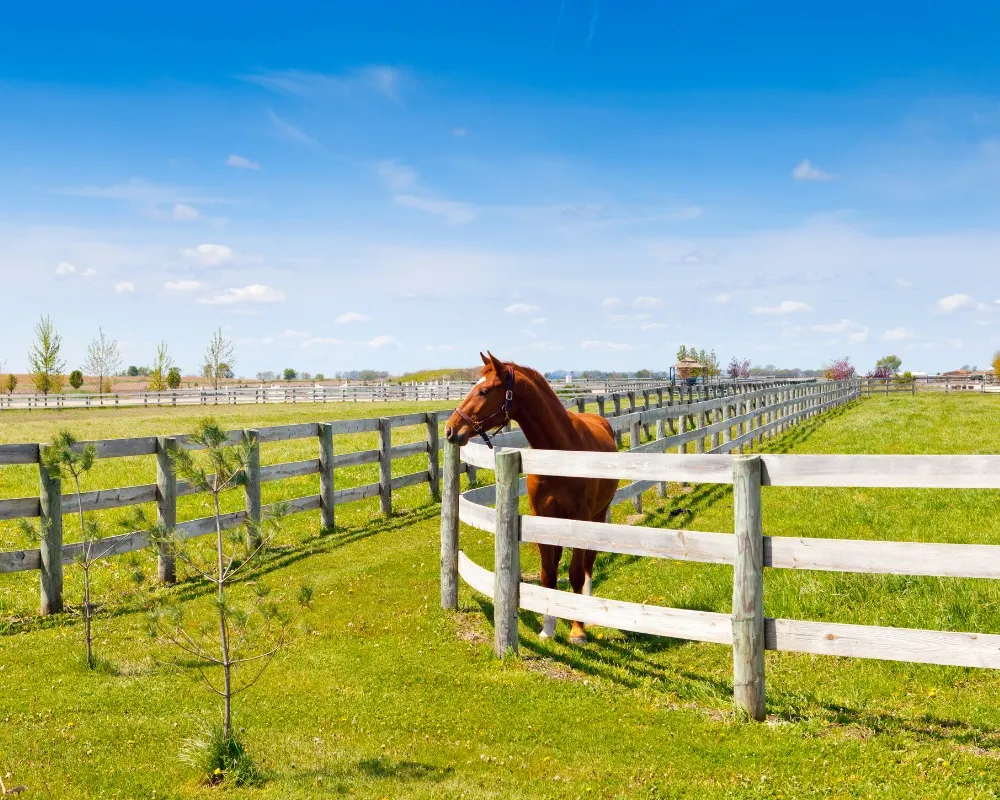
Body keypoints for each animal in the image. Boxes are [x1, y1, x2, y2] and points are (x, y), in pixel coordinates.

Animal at [445, 352, 618, 644]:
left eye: (484, 390)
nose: (450, 429)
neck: (561, 452)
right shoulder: (542, 517)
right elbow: (548, 574)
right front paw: (548, 627)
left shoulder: (580, 517)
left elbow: (574, 573)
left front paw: (577, 630)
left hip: (596, 517)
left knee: (588, 564)